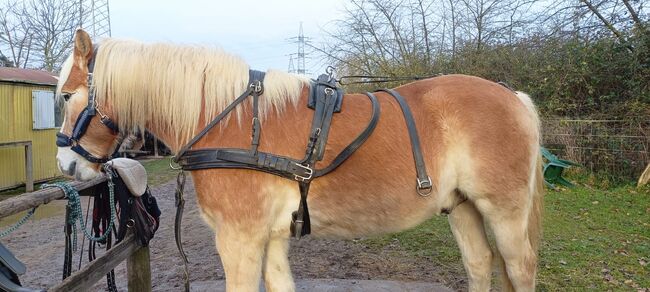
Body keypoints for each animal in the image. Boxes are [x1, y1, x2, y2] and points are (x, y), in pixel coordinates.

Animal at [55, 30, 540, 292]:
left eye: (65, 95)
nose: (66, 167)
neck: (231, 122)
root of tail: (512, 95)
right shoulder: (270, 238)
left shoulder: (239, 239)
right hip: (462, 208)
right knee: (480, 265)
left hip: (504, 212)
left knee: (519, 268)